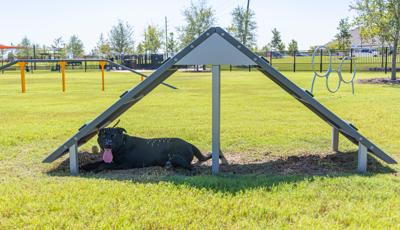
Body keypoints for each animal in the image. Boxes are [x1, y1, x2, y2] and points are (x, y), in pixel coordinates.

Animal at [82, 127, 228, 172]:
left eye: (113, 136)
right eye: (103, 136)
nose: (107, 144)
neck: (121, 145)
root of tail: (189, 143)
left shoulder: (124, 164)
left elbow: (104, 165)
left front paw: (96, 170)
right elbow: (97, 162)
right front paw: (84, 167)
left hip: (176, 157)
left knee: (191, 167)